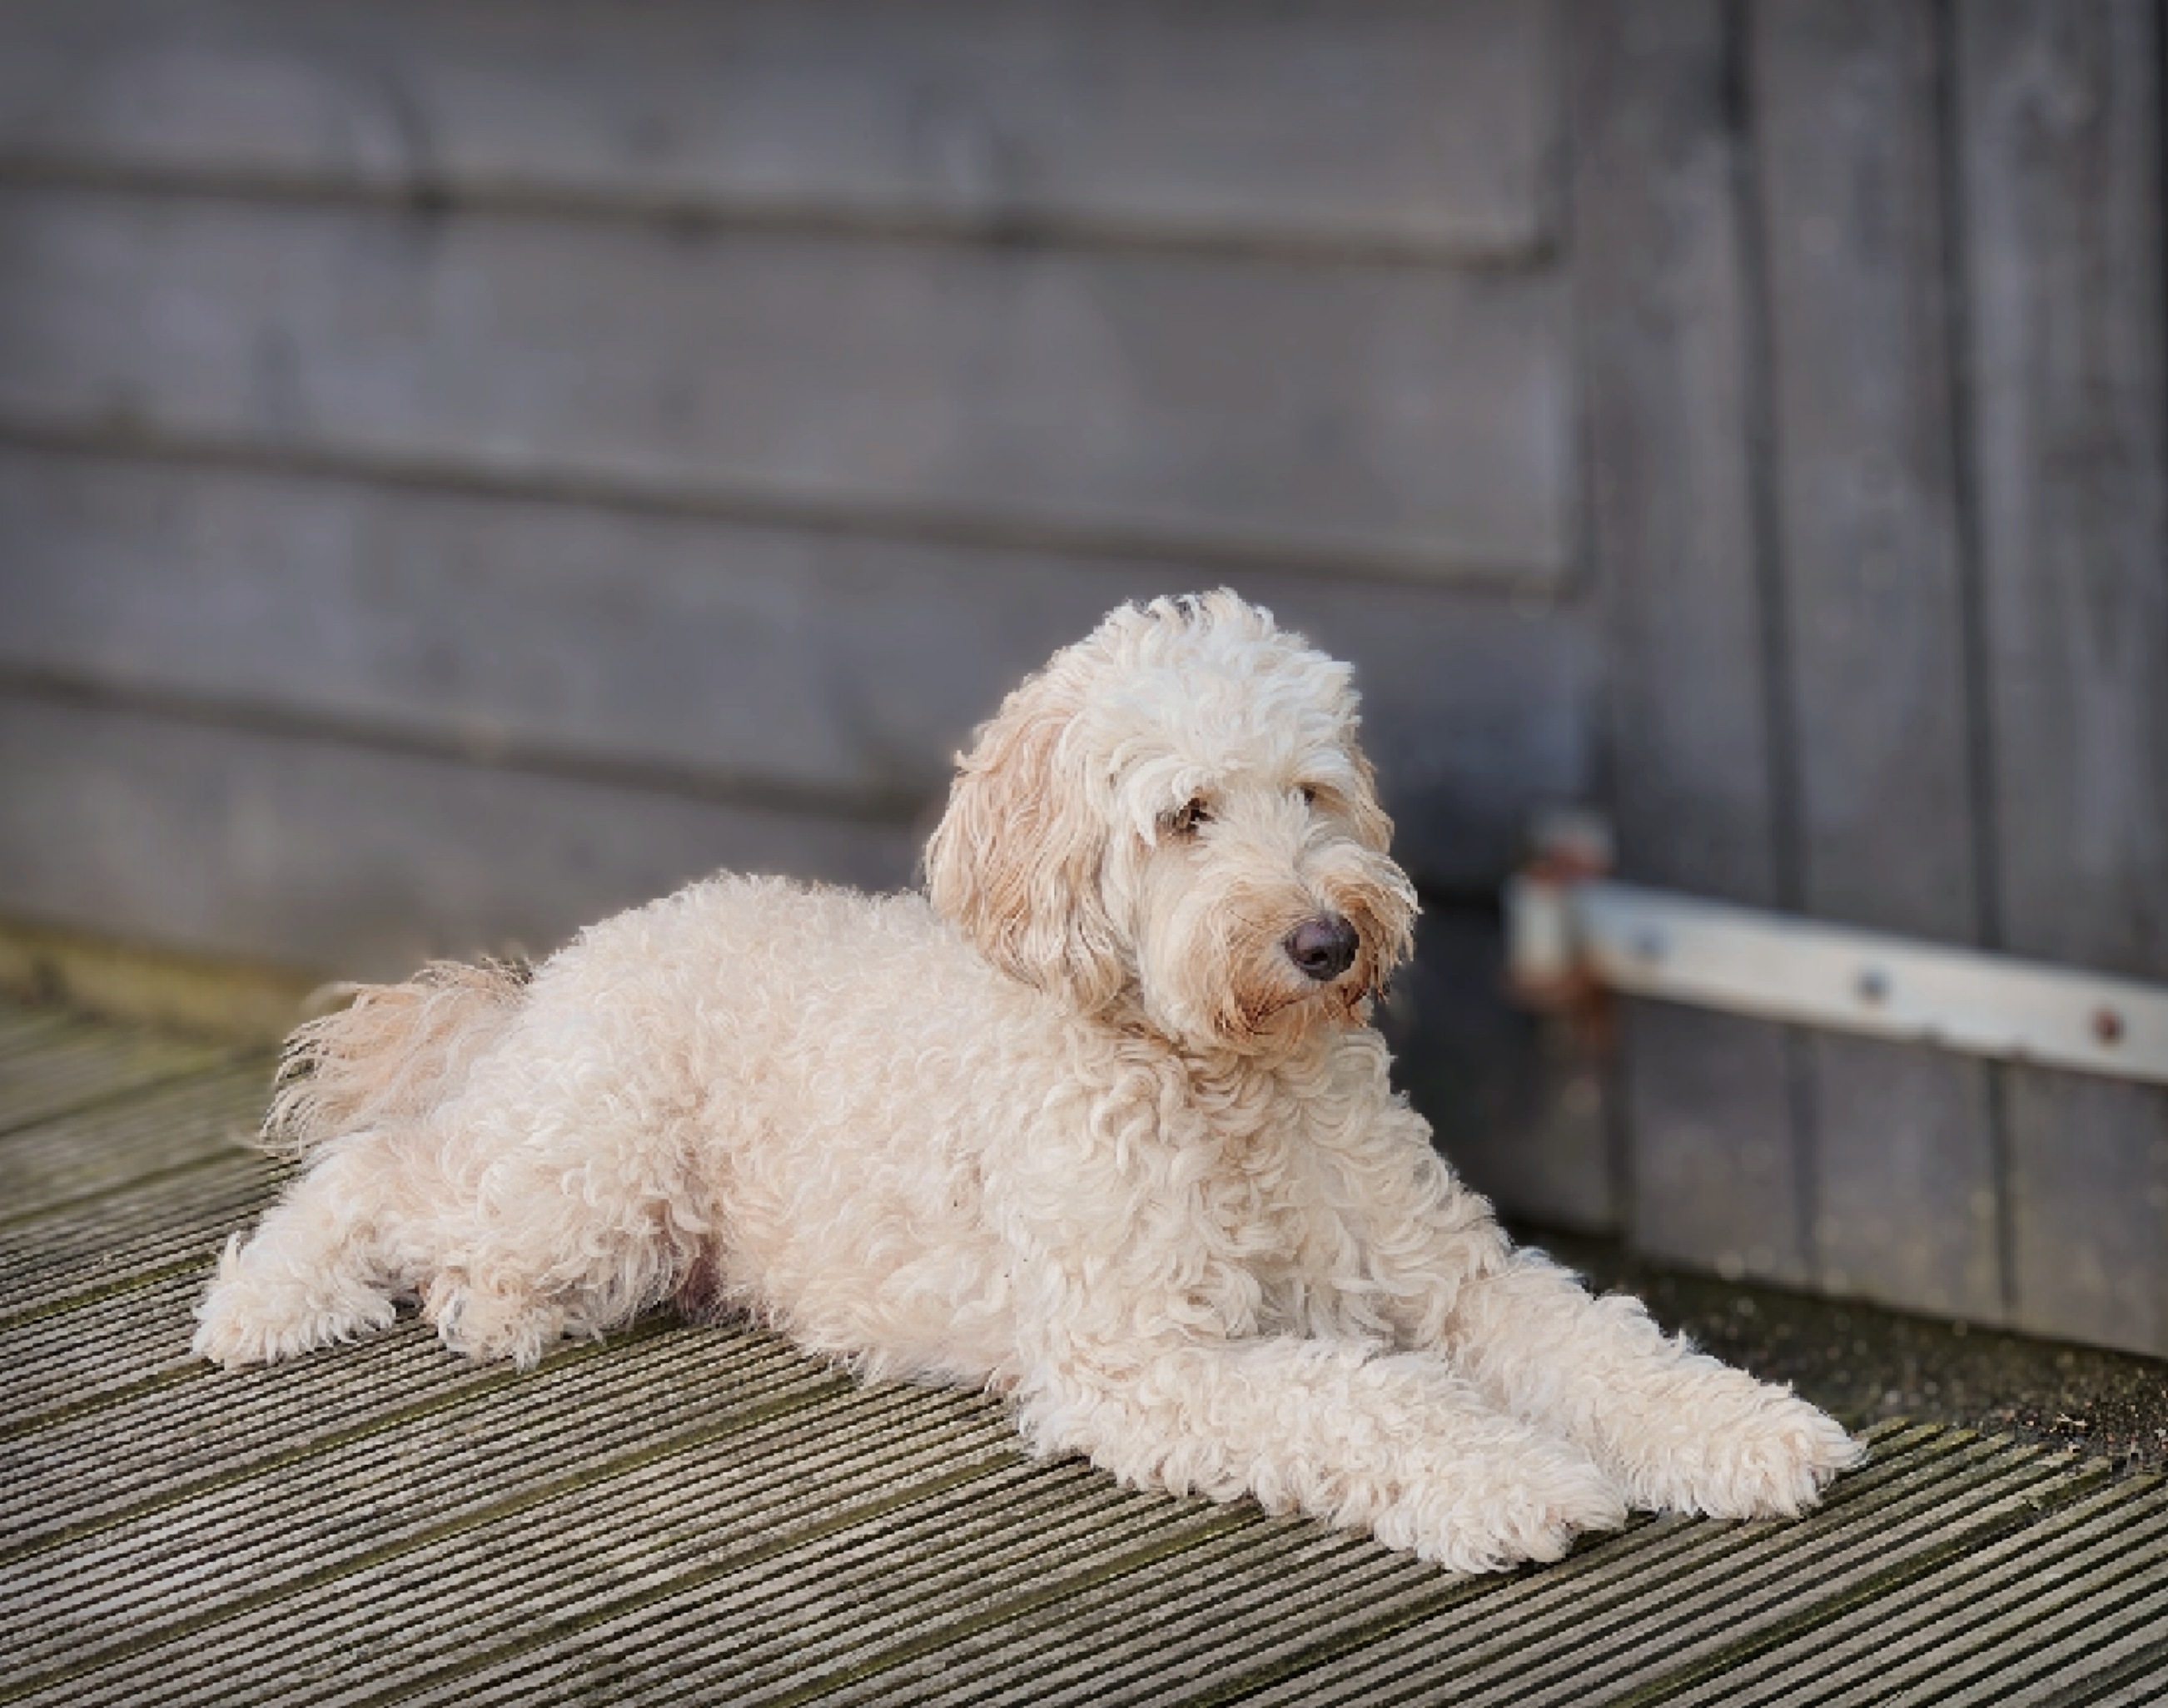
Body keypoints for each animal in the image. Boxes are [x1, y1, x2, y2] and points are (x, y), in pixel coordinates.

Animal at [195, 593, 1856, 1569]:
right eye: (1185, 815)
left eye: (1312, 791)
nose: (1326, 938)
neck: (1218, 1080)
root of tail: (554, 975)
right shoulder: (1143, 1355)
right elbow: (1365, 1396)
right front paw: (1514, 1480)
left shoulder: (1448, 1279)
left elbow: (1599, 1345)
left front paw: (1741, 1430)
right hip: (590, 1176)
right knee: (378, 1167)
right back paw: (266, 1302)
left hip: (623, 1230)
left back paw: (485, 1313)